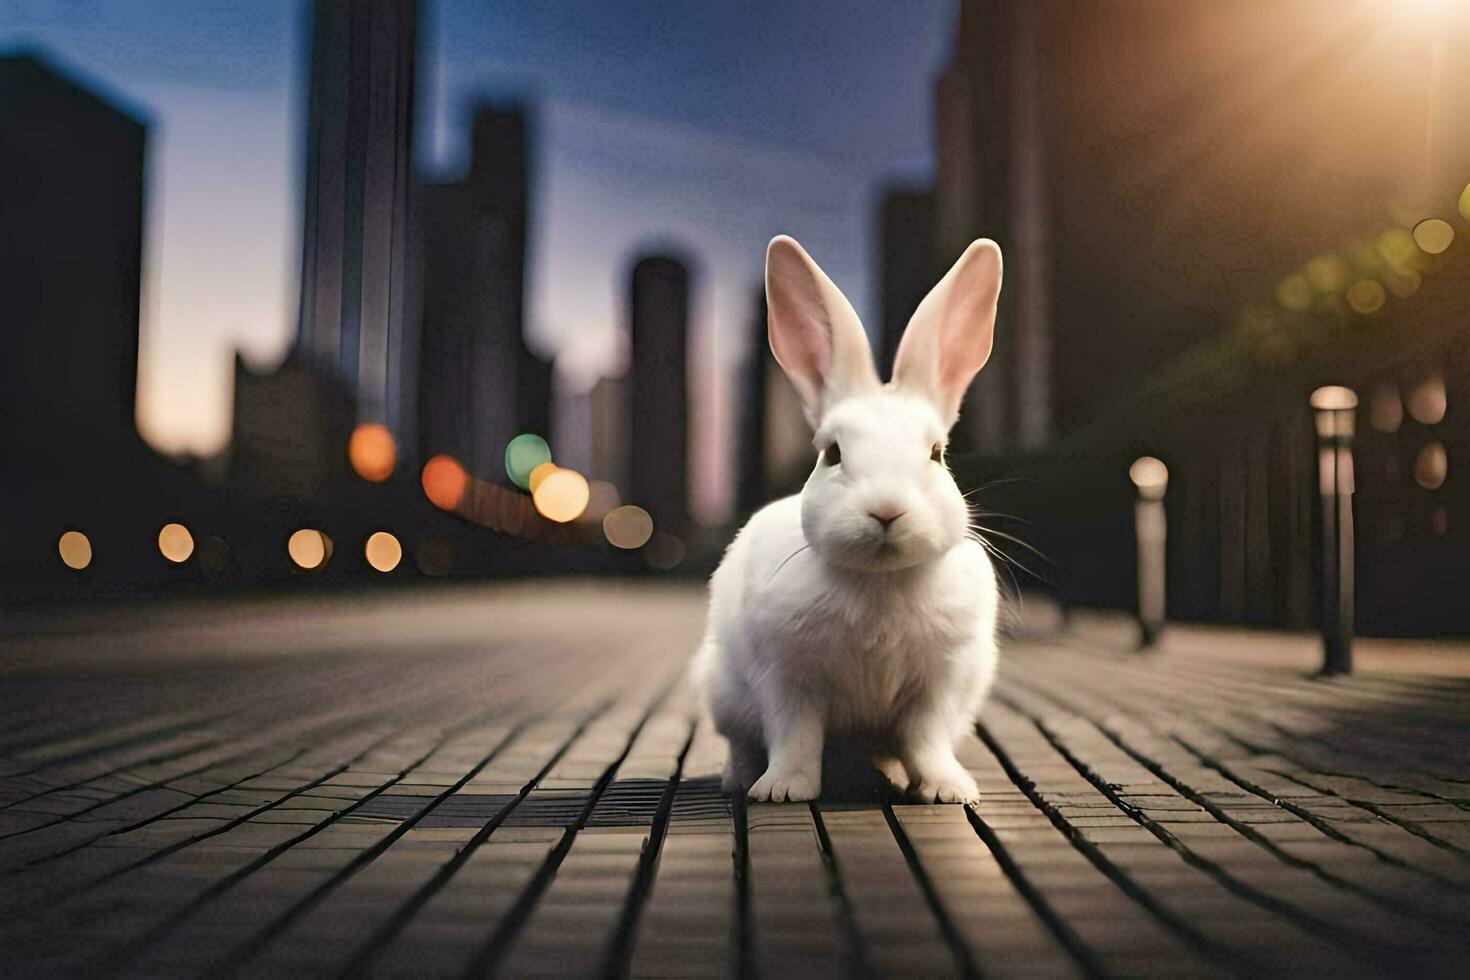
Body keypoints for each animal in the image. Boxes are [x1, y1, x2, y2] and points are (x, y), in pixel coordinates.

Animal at [693, 233, 1005, 799]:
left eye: (936, 454)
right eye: (832, 453)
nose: (886, 510)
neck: (879, 581)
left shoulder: (942, 682)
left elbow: (925, 740)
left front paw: (947, 789)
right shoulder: (786, 676)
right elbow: (794, 736)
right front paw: (782, 790)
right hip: (722, 690)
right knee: (741, 742)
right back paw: (739, 780)